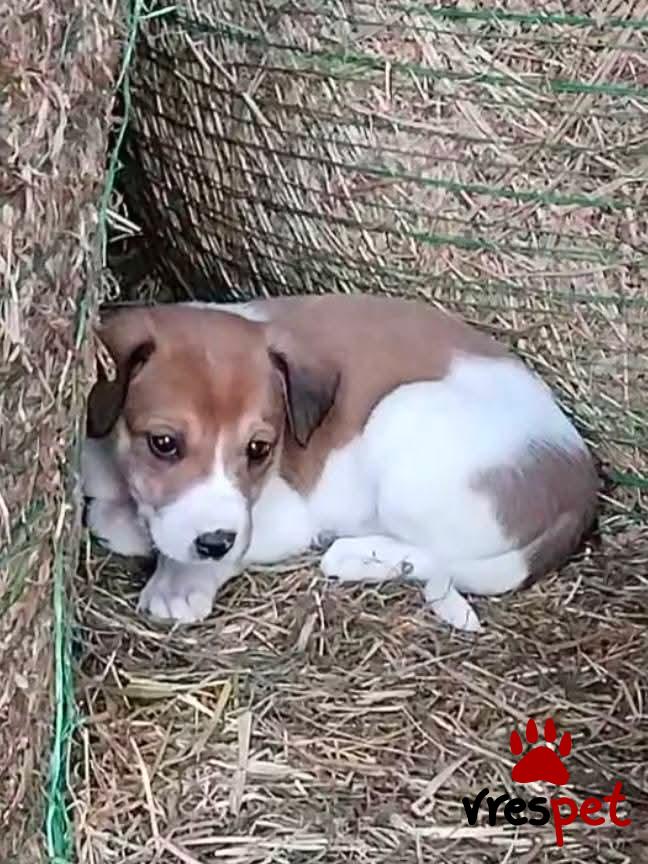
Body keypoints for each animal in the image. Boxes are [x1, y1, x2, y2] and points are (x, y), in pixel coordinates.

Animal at [81, 294, 599, 632]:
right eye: (164, 443)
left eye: (259, 450)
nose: (214, 543)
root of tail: (581, 486)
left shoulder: (280, 517)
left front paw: (178, 581)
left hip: (403, 418)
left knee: (439, 555)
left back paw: (352, 556)